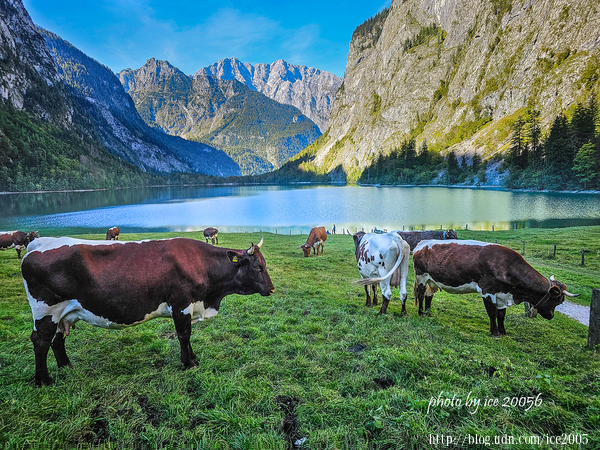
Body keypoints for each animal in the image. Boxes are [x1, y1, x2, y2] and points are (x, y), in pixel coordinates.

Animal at [21, 236, 274, 386]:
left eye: (264, 265)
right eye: (257, 267)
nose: (271, 289)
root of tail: (39, 243)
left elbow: (186, 336)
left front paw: (193, 359)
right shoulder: (181, 304)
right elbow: (184, 335)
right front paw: (188, 363)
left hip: (62, 313)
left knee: (57, 340)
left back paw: (67, 366)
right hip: (46, 311)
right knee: (41, 341)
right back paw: (44, 379)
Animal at [412, 240, 579, 336]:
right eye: (558, 301)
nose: (551, 316)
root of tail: (423, 243)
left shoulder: (502, 295)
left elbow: (501, 315)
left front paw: (503, 331)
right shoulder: (487, 291)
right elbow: (492, 313)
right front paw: (494, 332)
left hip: (432, 280)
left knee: (429, 296)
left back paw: (428, 313)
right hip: (421, 277)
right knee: (421, 294)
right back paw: (420, 313)